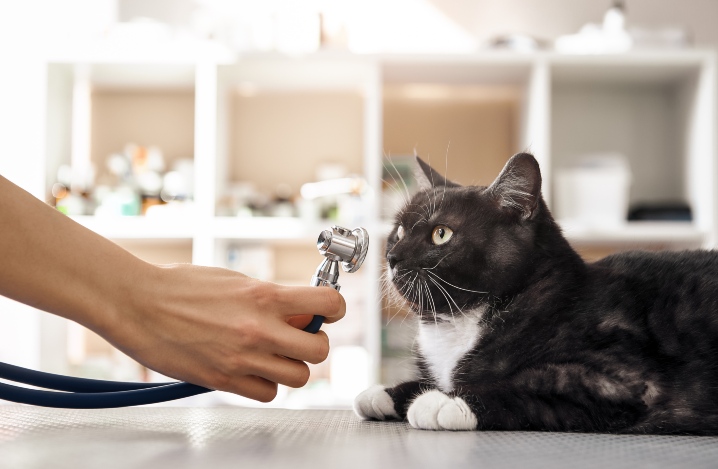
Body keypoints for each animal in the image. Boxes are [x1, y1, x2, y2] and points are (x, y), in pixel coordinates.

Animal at [356, 152, 718, 434]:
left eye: (441, 234)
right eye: (399, 231)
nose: (393, 256)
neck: (459, 324)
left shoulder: (623, 381)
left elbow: (527, 387)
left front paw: (444, 401)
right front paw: (385, 393)